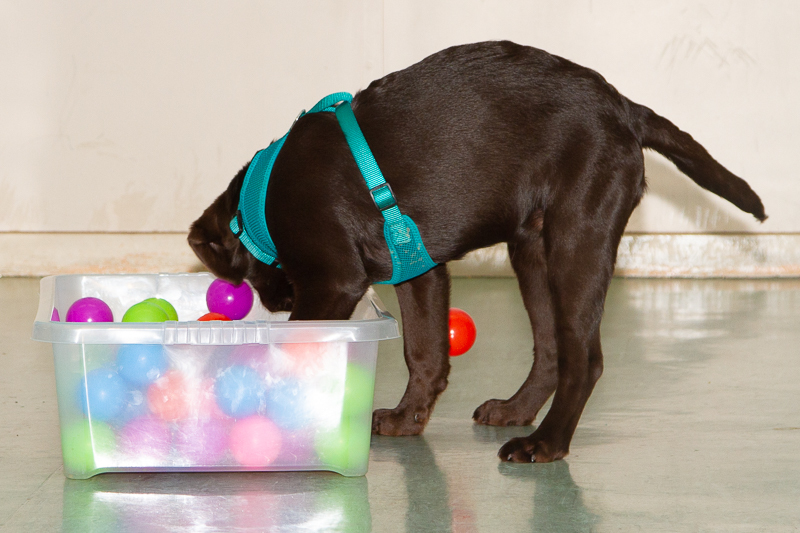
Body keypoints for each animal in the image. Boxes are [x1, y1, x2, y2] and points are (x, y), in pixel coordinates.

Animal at [189, 41, 766, 463]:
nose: (278, 302)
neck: (260, 201)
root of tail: (625, 108)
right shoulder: (420, 271)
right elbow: (424, 354)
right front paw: (406, 420)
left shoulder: (333, 282)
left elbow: (294, 350)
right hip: (532, 248)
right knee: (551, 350)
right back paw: (517, 410)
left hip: (578, 237)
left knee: (585, 358)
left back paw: (547, 443)